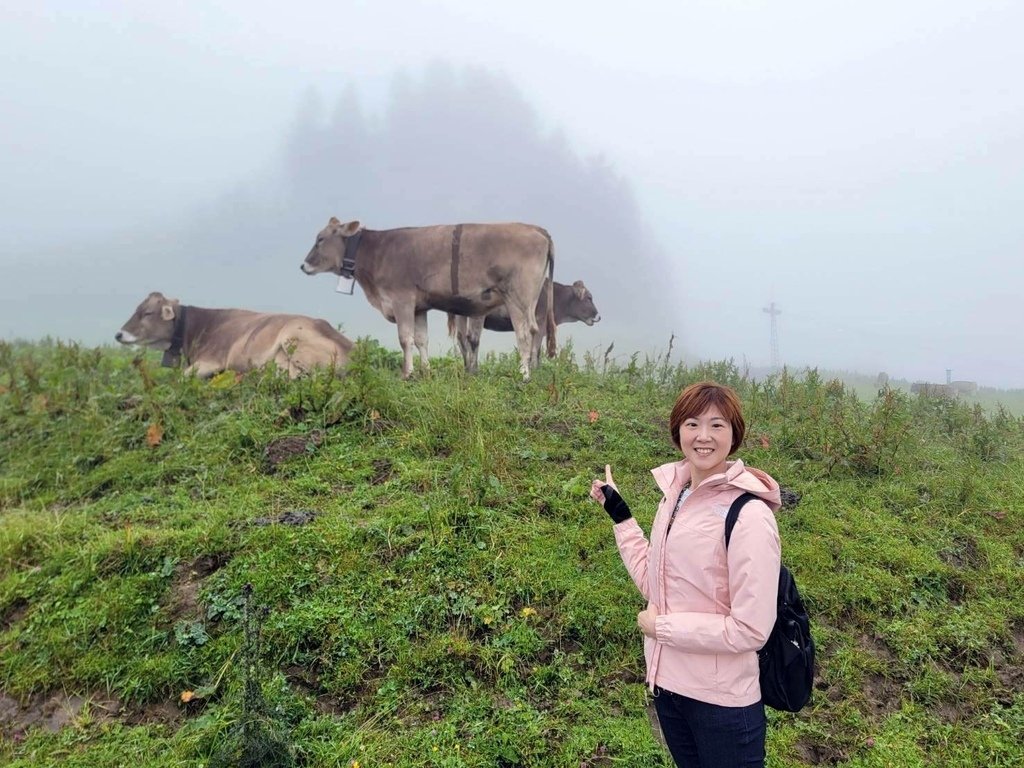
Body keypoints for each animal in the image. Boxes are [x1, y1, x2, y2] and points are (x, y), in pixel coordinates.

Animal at [299, 219, 557, 382]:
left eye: (320, 239)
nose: (303, 265)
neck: (376, 252)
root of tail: (537, 229)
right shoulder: (419, 307)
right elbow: (422, 339)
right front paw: (425, 371)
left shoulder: (401, 299)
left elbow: (405, 339)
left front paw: (407, 374)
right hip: (530, 299)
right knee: (533, 331)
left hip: (518, 297)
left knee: (524, 333)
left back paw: (524, 374)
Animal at [448, 280, 598, 376]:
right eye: (589, 298)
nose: (599, 316)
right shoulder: (539, 325)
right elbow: (535, 351)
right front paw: (535, 371)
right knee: (472, 339)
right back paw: (474, 371)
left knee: (462, 339)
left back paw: (467, 368)